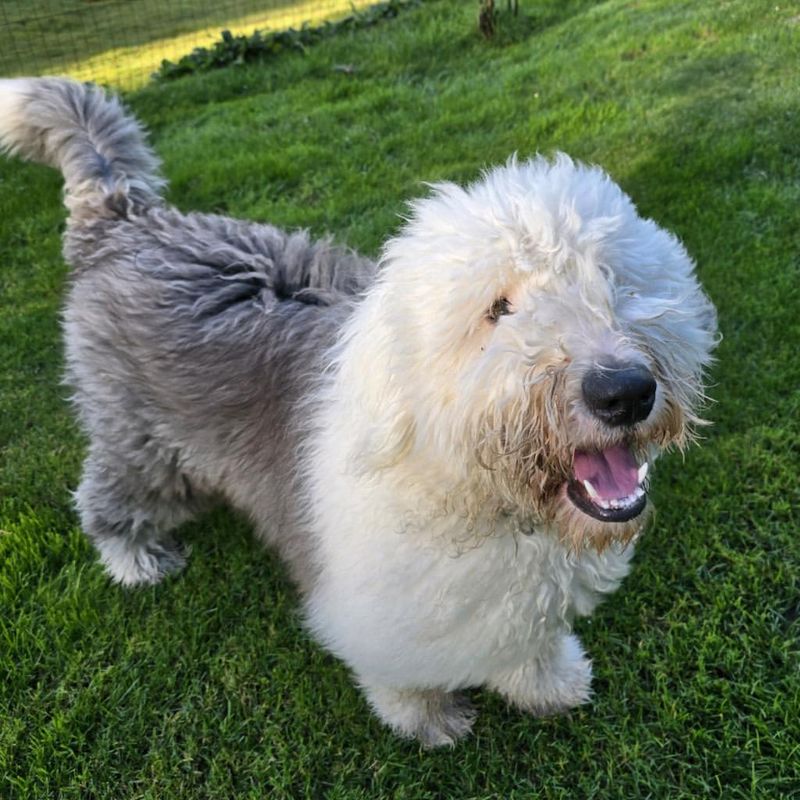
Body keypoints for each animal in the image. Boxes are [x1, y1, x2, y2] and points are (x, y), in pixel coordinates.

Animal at [0, 78, 720, 748]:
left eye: (614, 281)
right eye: (498, 308)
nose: (624, 391)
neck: (471, 487)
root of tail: (131, 219)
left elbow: (529, 642)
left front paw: (549, 683)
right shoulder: (377, 603)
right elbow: (398, 671)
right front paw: (427, 719)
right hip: (141, 437)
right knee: (107, 492)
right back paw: (133, 558)